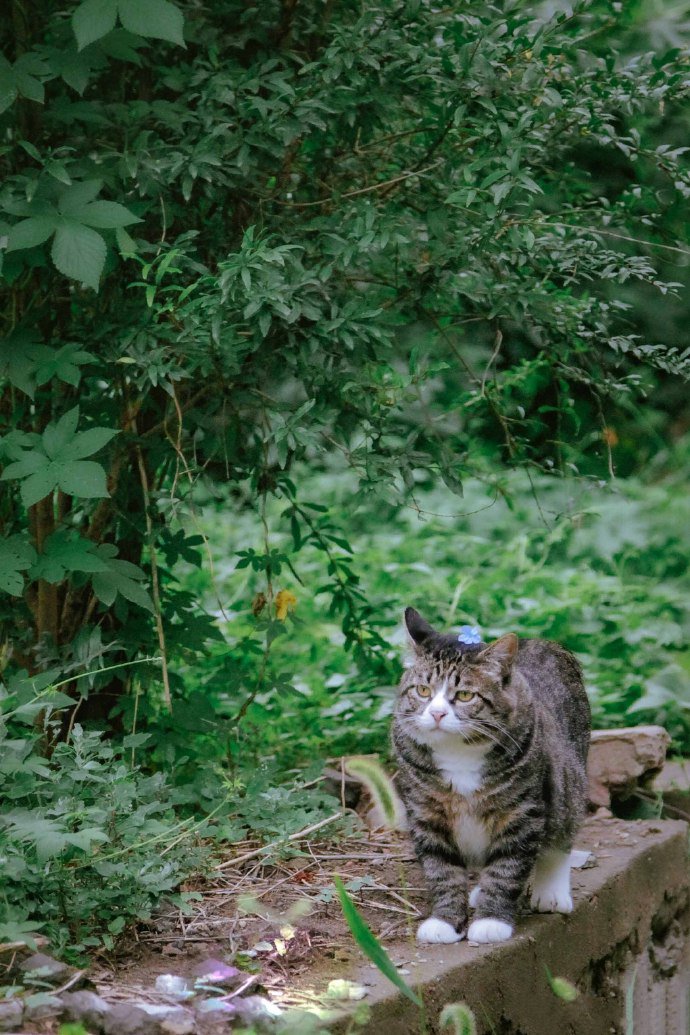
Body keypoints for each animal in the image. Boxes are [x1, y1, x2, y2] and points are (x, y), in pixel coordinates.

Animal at [391, 608, 591, 943]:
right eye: (422, 691)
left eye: (464, 695)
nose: (437, 713)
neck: (458, 752)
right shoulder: (426, 812)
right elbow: (440, 869)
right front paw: (445, 921)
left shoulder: (522, 812)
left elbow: (508, 868)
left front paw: (491, 921)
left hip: (569, 782)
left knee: (560, 835)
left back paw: (550, 891)